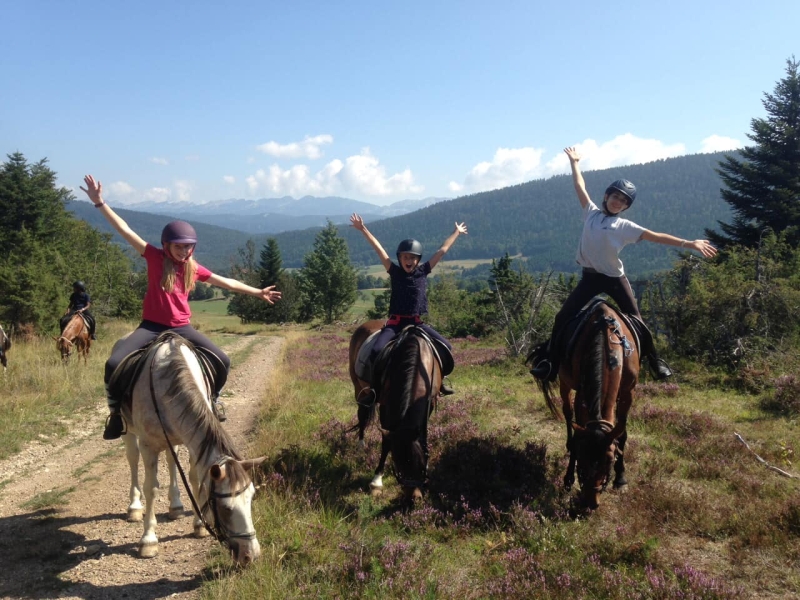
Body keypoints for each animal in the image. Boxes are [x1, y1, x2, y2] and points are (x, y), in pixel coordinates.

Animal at [115, 330, 266, 564]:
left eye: (251, 499)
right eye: (225, 509)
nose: (250, 555)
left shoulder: (193, 441)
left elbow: (196, 479)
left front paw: (199, 525)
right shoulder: (149, 446)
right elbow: (151, 488)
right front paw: (148, 541)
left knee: (171, 459)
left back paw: (176, 506)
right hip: (128, 432)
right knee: (133, 459)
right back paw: (135, 508)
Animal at [346, 318, 444, 502]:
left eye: (420, 465)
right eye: (398, 463)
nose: (413, 497)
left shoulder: (430, 403)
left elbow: (423, 435)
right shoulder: (386, 407)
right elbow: (387, 442)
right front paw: (376, 482)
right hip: (360, 389)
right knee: (362, 415)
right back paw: (361, 445)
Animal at [532, 302, 644, 508]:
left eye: (609, 462)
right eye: (582, 462)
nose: (590, 503)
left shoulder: (628, 392)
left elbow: (621, 432)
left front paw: (621, 479)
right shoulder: (581, 394)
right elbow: (578, 433)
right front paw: (568, 478)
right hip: (565, 384)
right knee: (568, 415)